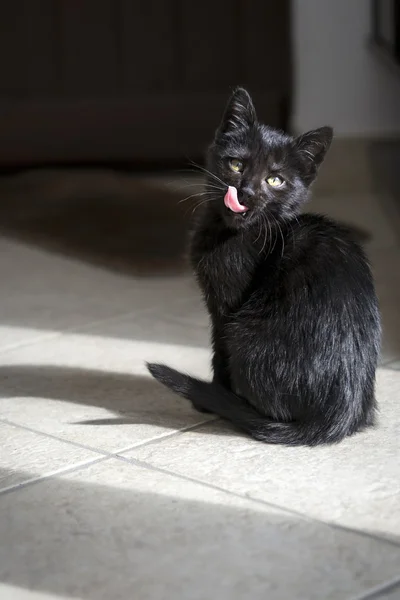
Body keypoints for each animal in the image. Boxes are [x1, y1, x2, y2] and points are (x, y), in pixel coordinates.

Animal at [147, 88, 382, 446]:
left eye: (275, 180)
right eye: (236, 164)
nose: (245, 192)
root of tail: (332, 421)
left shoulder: (226, 309)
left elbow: (218, 352)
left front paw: (212, 397)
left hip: (244, 332)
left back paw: (234, 407)